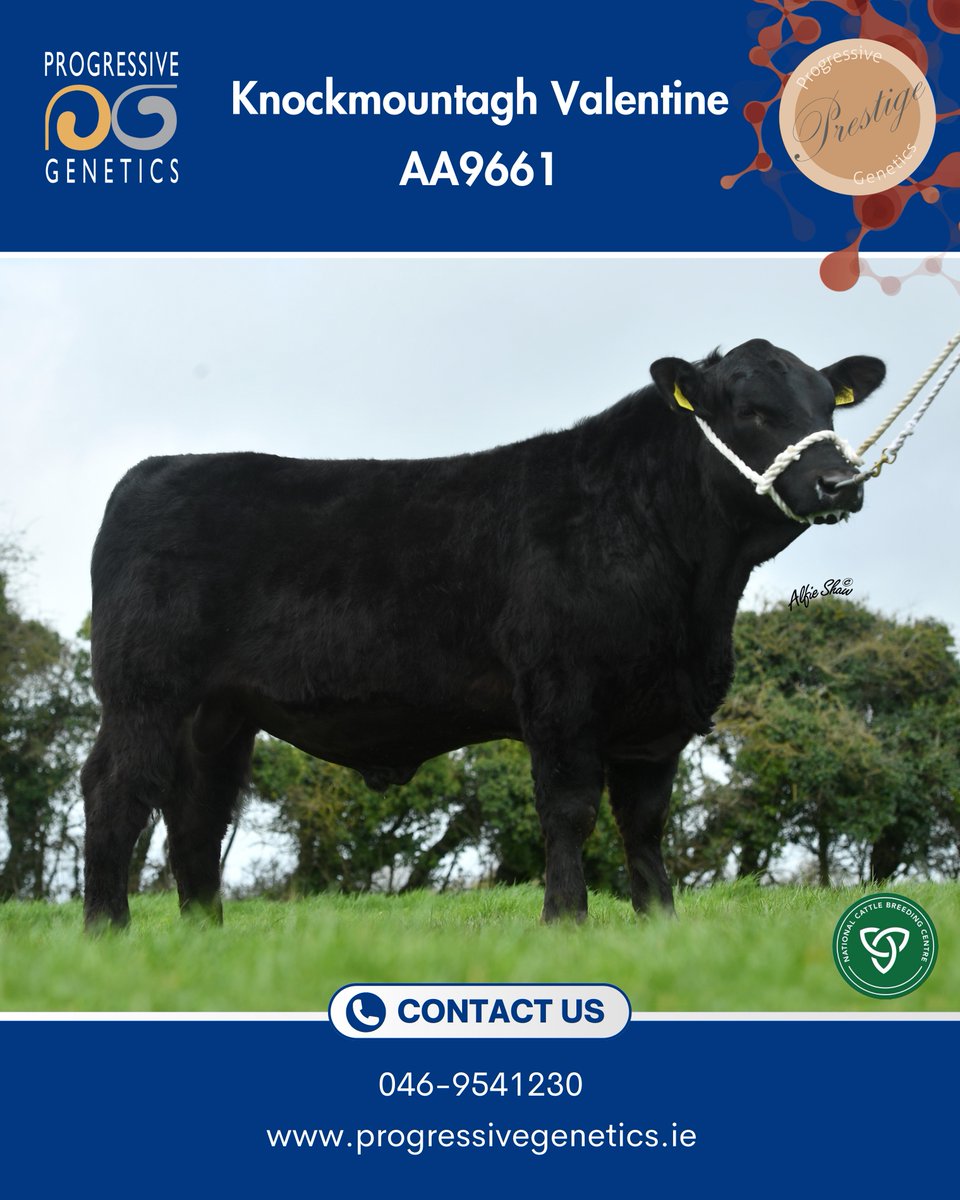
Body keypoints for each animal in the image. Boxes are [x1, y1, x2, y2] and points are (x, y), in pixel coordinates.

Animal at [81, 338, 885, 929]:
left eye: (828, 407)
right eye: (751, 409)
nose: (842, 484)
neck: (695, 596)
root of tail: (155, 470)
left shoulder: (660, 718)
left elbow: (645, 823)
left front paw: (660, 925)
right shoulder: (561, 692)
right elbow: (569, 810)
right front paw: (565, 923)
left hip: (217, 713)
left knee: (195, 809)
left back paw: (202, 938)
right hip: (145, 692)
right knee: (117, 790)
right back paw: (107, 932)